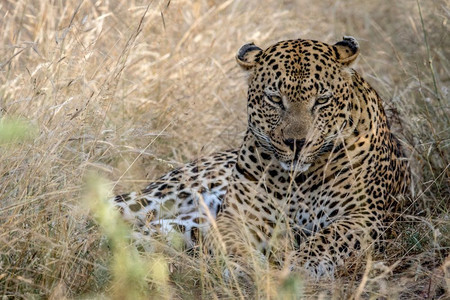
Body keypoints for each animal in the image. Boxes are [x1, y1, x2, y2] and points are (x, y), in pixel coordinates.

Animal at [110, 35, 410, 278]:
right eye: (275, 99)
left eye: (322, 101)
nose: (297, 143)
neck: (298, 179)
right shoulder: (238, 217)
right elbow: (231, 242)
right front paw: (244, 265)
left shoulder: (363, 216)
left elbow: (329, 238)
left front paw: (304, 264)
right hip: (163, 196)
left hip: (180, 226)